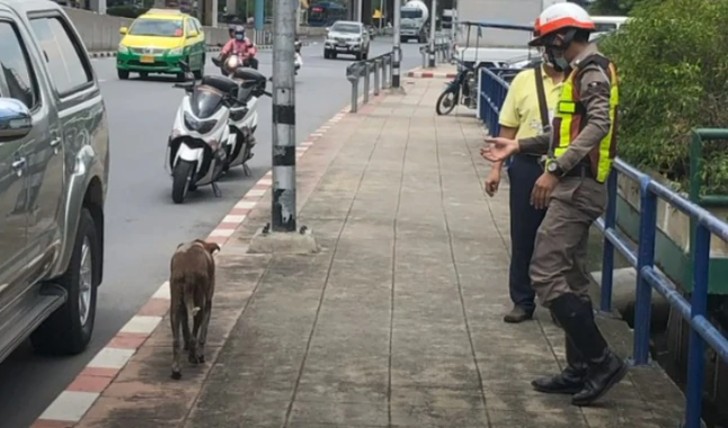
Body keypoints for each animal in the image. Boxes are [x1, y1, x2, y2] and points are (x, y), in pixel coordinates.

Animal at [169, 239, 220, 380]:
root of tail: (187, 269)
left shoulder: (182, 306)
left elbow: (185, 324)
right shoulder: (208, 302)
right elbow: (203, 333)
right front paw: (201, 354)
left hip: (175, 298)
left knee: (176, 339)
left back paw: (176, 368)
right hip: (200, 298)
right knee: (195, 334)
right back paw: (193, 356)